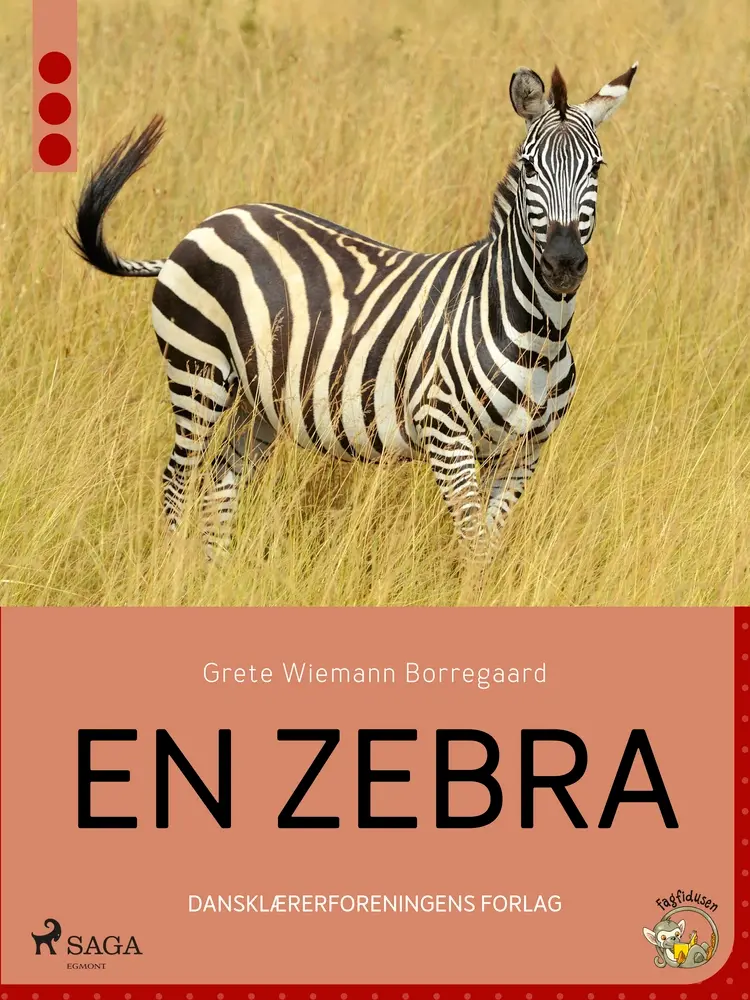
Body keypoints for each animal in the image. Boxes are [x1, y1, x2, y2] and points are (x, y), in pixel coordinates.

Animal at [70, 62, 637, 558]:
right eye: (528, 168)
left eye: (597, 167)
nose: (563, 264)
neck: (538, 334)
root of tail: (206, 224)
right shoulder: (446, 434)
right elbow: (474, 544)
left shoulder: (523, 455)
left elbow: (488, 546)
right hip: (197, 373)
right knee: (177, 478)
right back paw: (174, 575)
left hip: (258, 402)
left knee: (218, 486)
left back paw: (216, 576)